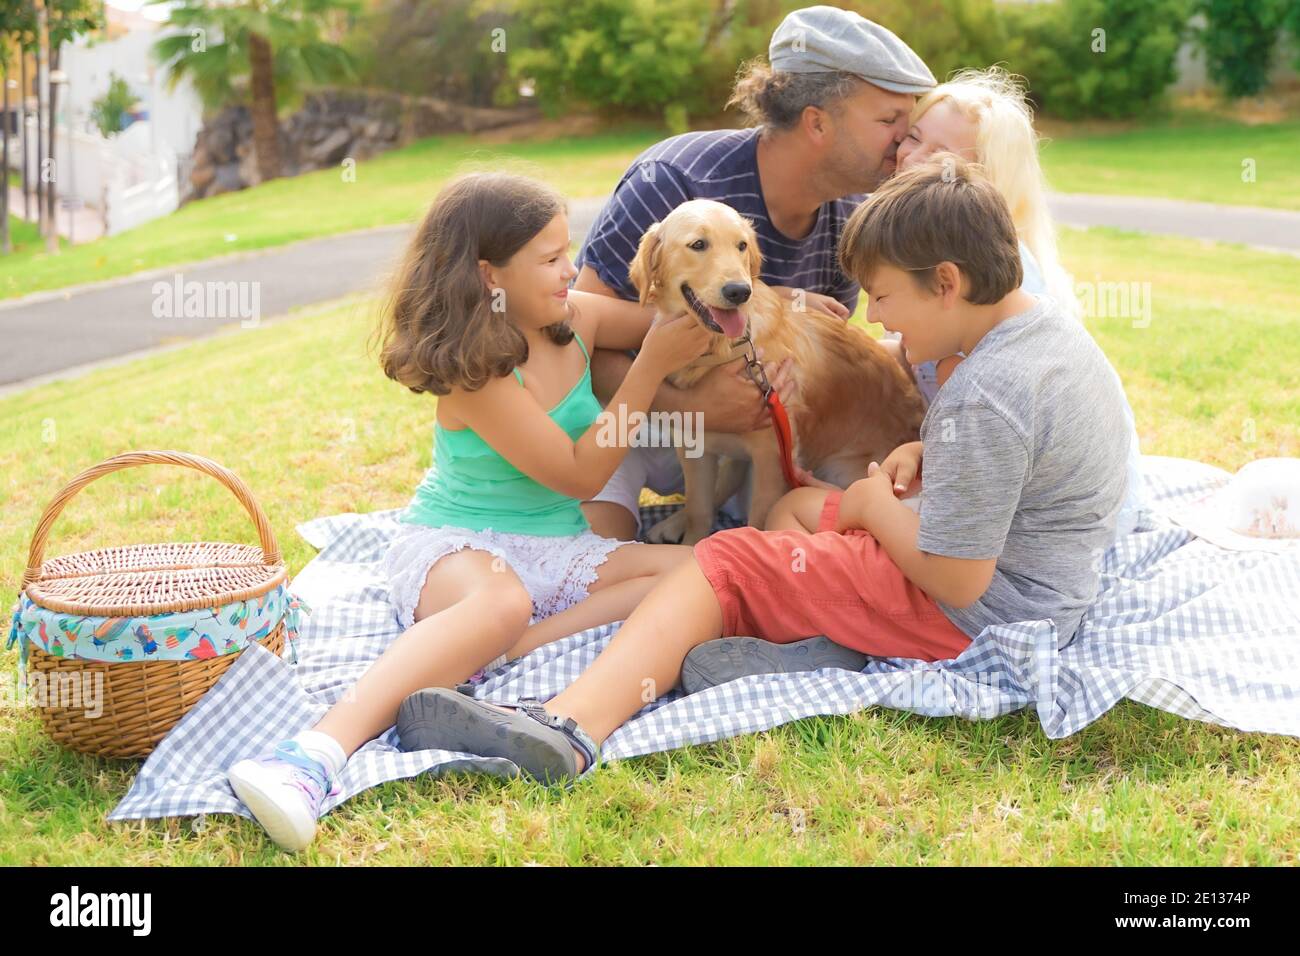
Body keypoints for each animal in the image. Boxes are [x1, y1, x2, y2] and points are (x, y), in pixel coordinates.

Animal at [626, 200, 925, 546]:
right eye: (698, 245)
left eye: (742, 245)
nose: (739, 292)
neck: (724, 349)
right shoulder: (694, 445)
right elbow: (698, 510)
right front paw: (689, 543)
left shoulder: (772, 455)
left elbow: (759, 519)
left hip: (840, 468)